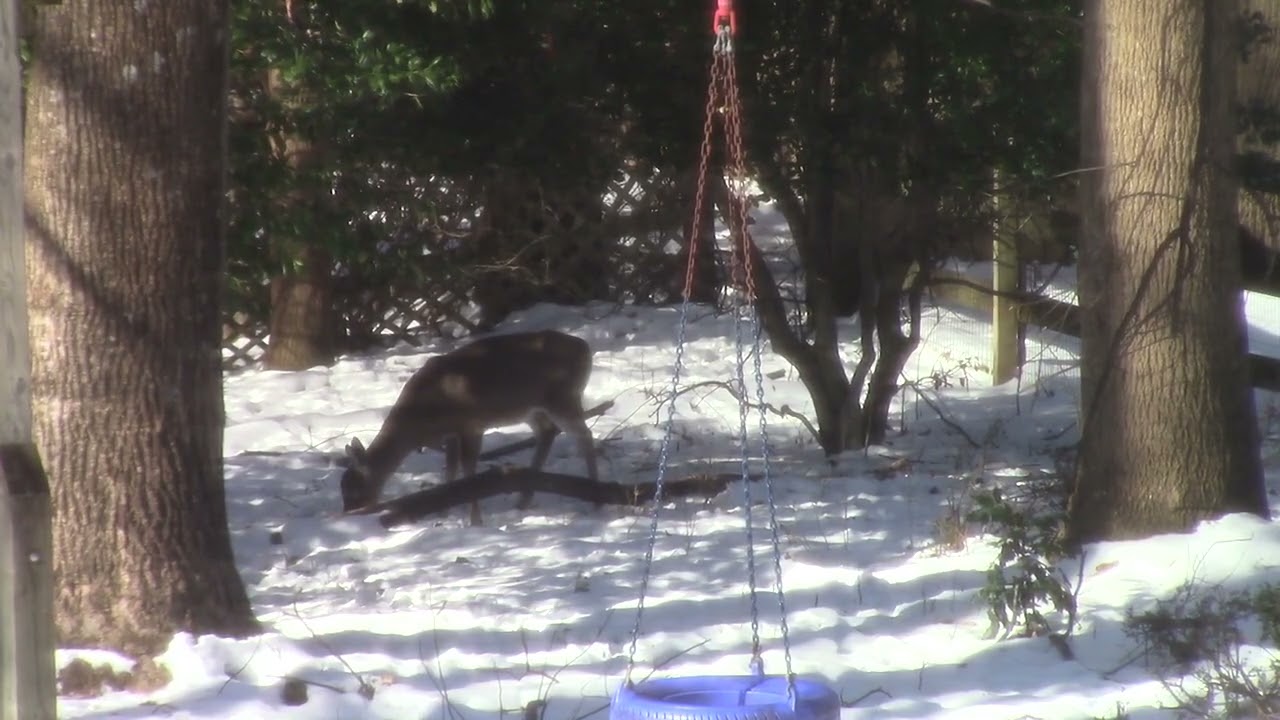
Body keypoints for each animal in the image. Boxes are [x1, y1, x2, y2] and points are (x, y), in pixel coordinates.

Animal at [339, 329, 600, 516]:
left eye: (353, 488)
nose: (349, 512)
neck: (421, 417)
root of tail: (586, 347)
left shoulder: (471, 424)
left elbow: (468, 470)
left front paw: (474, 520)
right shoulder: (452, 432)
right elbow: (451, 469)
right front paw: (442, 511)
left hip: (562, 397)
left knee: (584, 436)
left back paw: (594, 495)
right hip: (532, 408)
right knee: (547, 432)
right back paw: (523, 500)